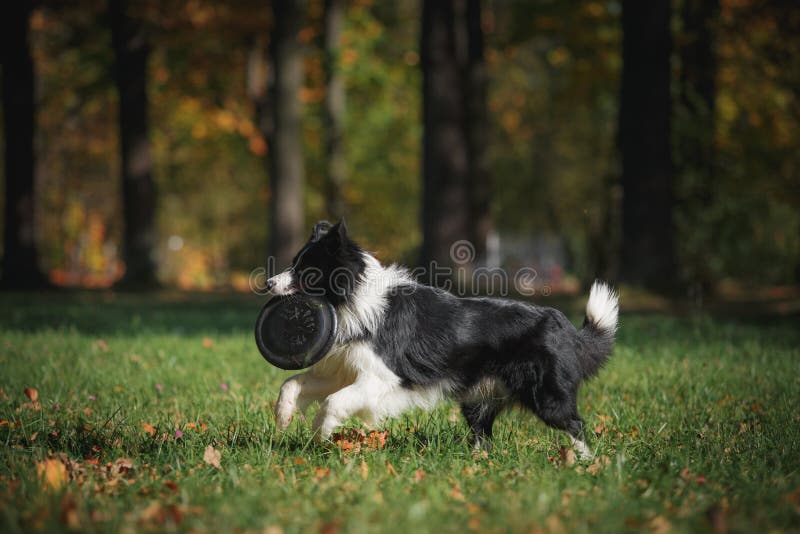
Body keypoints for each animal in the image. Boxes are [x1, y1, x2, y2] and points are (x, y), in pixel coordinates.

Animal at [268, 220, 620, 458]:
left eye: (306, 270)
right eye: (294, 263)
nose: (269, 283)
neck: (353, 298)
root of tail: (567, 330)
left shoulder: (381, 377)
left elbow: (333, 401)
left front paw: (319, 433)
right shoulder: (344, 368)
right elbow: (293, 383)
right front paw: (283, 418)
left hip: (547, 396)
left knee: (575, 424)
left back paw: (586, 463)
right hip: (479, 398)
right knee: (483, 433)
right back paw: (477, 463)